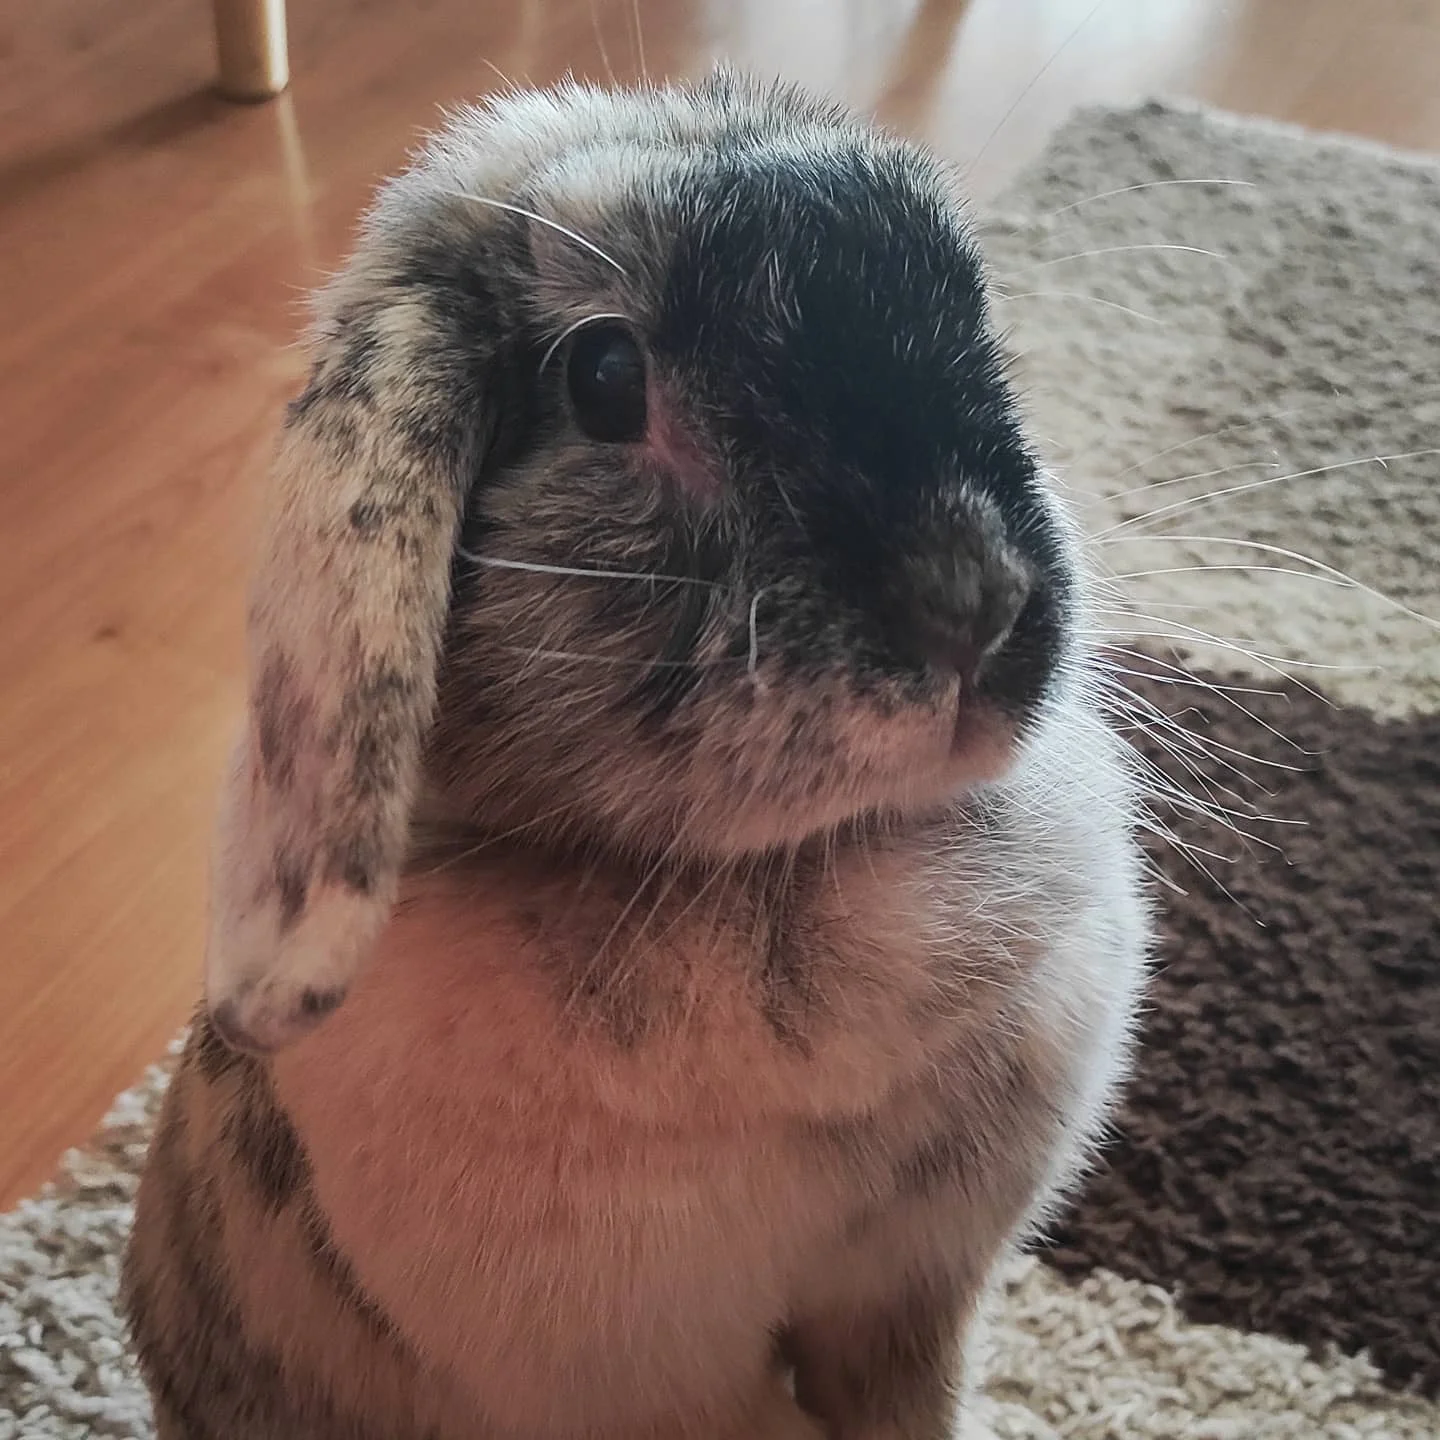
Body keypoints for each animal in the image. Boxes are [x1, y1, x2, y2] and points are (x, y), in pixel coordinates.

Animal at [121, 70, 1150, 1440]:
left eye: (969, 302)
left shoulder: (914, 1301)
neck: (779, 876)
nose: (974, 608)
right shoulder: (666, 1385)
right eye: (606, 378)